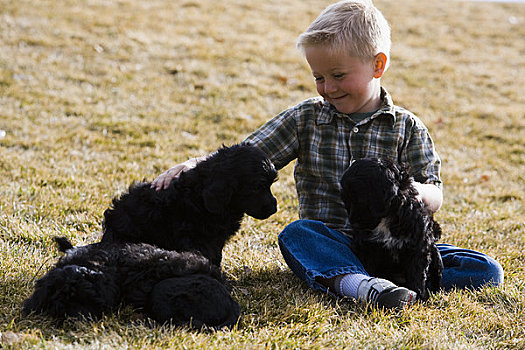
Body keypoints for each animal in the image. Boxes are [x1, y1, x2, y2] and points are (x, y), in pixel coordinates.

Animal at [340, 159, 442, 300]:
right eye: (346, 201)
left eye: (360, 200)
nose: (353, 222)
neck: (387, 217)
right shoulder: (367, 246)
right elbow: (368, 267)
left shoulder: (419, 245)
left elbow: (417, 272)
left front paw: (419, 295)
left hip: (435, 254)